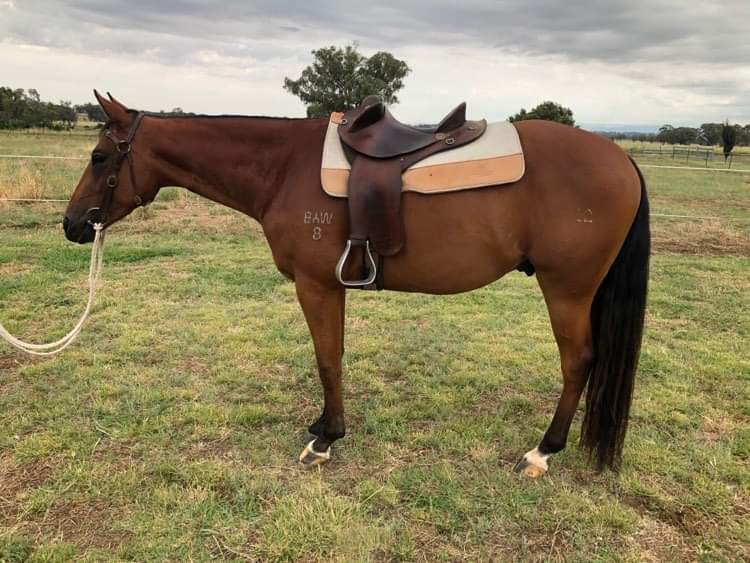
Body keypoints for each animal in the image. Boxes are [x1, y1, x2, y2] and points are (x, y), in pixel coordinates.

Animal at [63, 91, 649, 476]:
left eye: (99, 156)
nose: (71, 225)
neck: (283, 167)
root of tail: (621, 158)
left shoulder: (315, 285)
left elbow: (326, 358)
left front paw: (326, 439)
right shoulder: (332, 286)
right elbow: (336, 354)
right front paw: (326, 426)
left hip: (567, 289)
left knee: (577, 361)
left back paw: (543, 451)